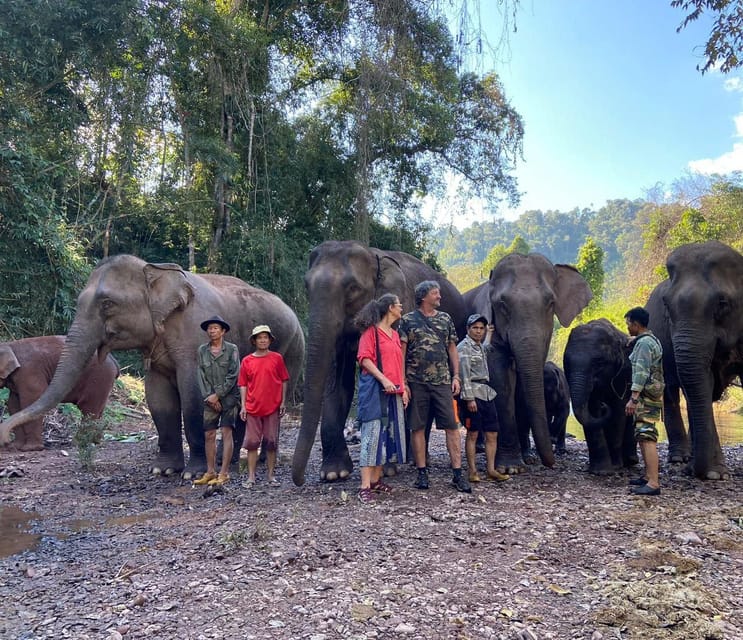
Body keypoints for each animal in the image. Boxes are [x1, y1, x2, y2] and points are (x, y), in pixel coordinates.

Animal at [0, 252, 306, 478]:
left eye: (107, 303)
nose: (4, 436)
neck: (155, 270)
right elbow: (158, 399)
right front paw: (164, 470)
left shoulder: (194, 335)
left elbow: (193, 398)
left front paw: (193, 474)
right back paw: (226, 460)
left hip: (293, 348)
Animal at [290, 240, 464, 484]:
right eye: (307, 286)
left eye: (353, 288)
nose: (301, 480)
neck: (373, 256)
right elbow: (338, 383)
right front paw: (334, 473)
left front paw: (387, 469)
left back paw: (414, 460)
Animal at [464, 252, 592, 472]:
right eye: (502, 304)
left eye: (550, 303)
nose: (551, 463)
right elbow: (501, 379)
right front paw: (510, 468)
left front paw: (526, 459)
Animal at [564, 318, 640, 472]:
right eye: (566, 363)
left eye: (598, 362)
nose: (604, 406)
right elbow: (592, 409)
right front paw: (600, 471)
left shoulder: (623, 374)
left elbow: (618, 412)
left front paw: (615, 467)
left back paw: (630, 461)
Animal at [644, 241, 743, 480]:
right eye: (666, 305)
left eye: (723, 303)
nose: (693, 472)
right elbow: (702, 384)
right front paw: (715, 475)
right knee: (672, 392)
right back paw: (680, 458)